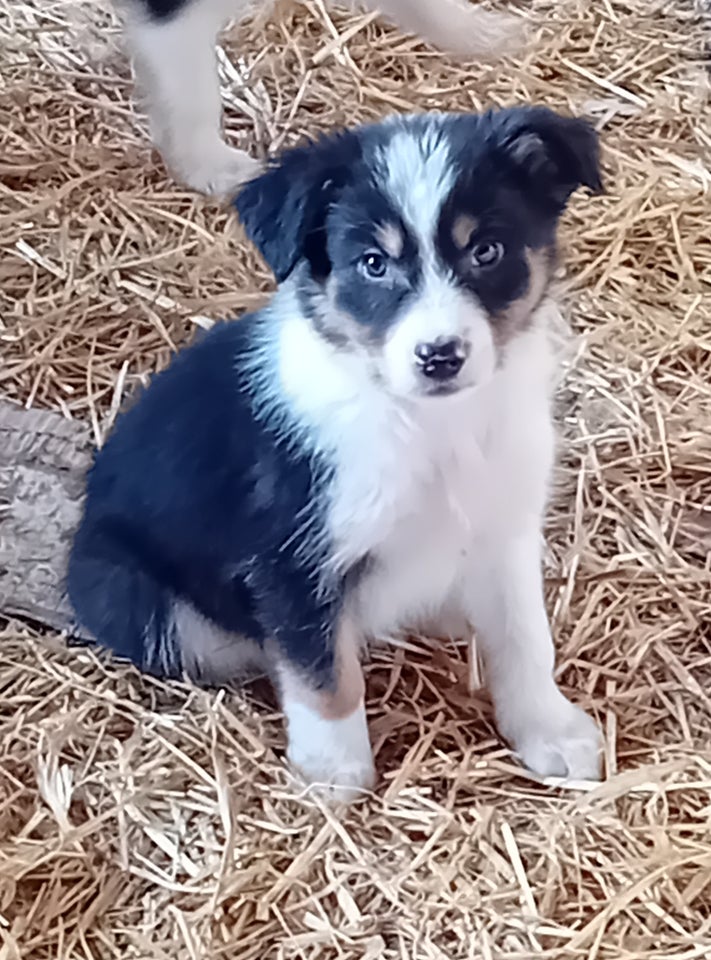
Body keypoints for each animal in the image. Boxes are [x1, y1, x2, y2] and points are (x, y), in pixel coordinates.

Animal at [68, 105, 608, 800]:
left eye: (486, 251)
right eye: (373, 263)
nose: (440, 356)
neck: (428, 424)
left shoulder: (506, 527)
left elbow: (525, 637)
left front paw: (552, 732)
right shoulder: (290, 560)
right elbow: (322, 672)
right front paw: (333, 776)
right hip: (145, 601)